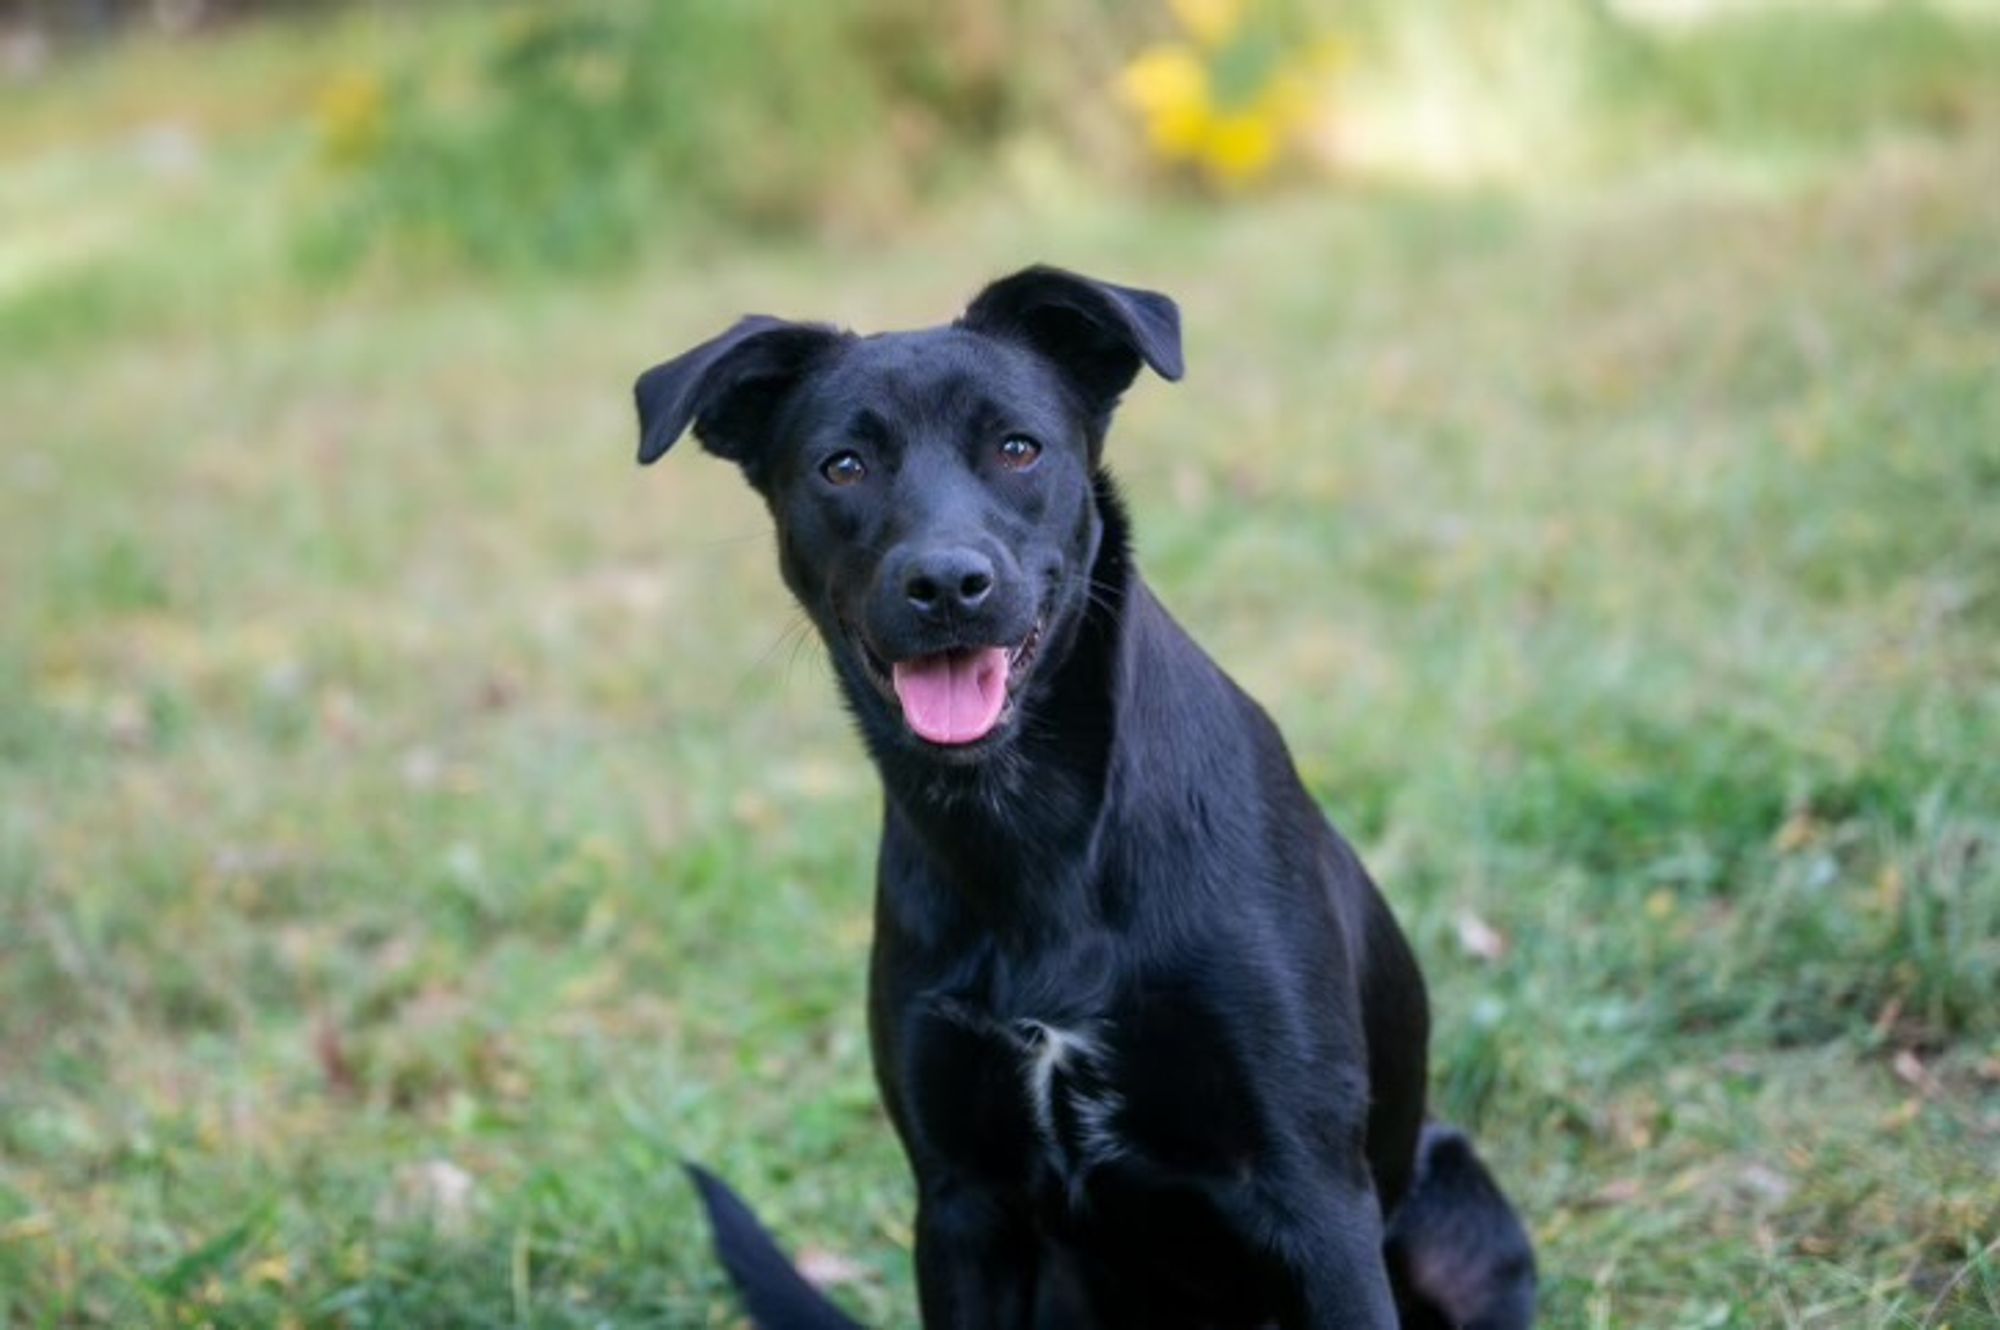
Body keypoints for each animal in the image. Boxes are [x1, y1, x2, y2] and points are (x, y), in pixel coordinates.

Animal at [636, 264, 1528, 1320]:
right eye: (842, 467)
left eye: (1019, 449)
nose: (947, 583)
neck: (1032, 830)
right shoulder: (959, 1202)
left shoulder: (1318, 1195)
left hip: (1468, 1221)